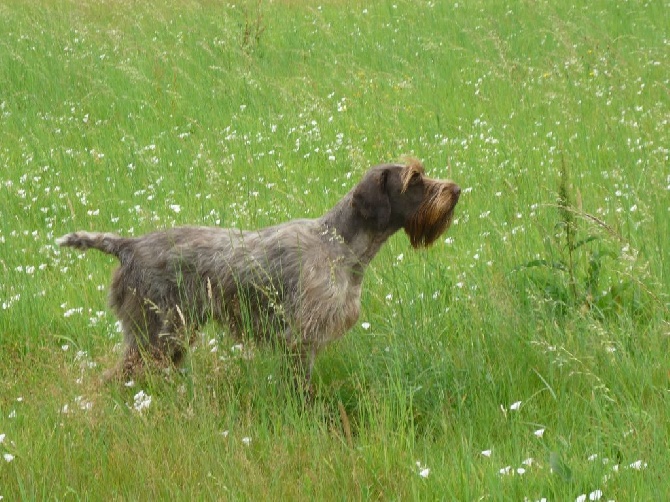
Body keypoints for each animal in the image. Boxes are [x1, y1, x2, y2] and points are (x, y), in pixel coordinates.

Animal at [56, 159, 462, 386]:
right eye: (414, 180)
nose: (456, 190)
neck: (339, 245)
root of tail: (128, 245)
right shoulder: (301, 340)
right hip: (154, 335)